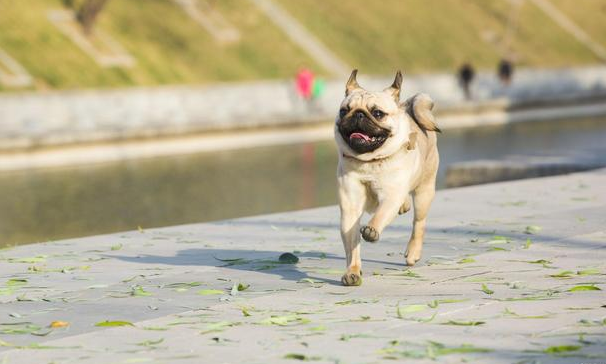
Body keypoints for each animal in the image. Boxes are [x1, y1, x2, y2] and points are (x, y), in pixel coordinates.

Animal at [338, 69, 442, 286]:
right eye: (344, 111)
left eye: (378, 113)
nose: (358, 114)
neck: (368, 161)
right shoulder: (350, 209)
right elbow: (352, 247)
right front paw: (352, 272)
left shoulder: (391, 196)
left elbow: (380, 215)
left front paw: (371, 230)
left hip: (424, 192)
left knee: (418, 223)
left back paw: (413, 252)